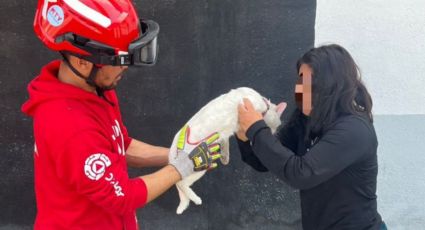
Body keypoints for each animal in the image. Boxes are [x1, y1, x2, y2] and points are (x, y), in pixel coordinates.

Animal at [169, 86, 284, 214]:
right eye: (276, 126)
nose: (273, 134)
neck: (262, 103)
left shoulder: (225, 135)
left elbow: (225, 143)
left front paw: (225, 157)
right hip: (198, 168)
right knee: (181, 183)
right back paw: (196, 199)